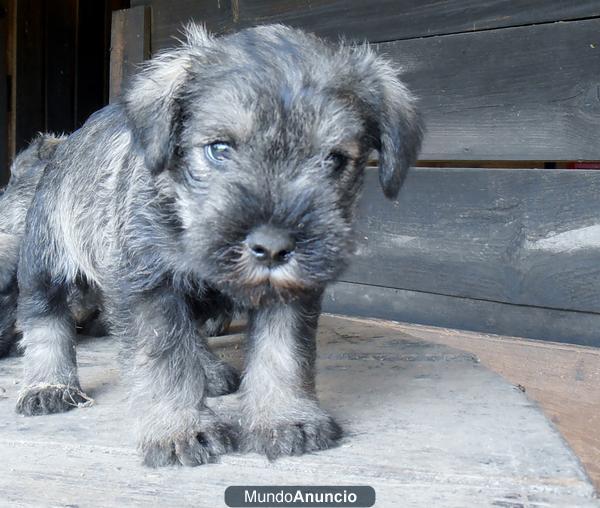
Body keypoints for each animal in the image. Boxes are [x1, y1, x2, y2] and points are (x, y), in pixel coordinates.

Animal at [15, 24, 422, 468]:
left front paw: (284, 417)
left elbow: (282, 351)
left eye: (334, 160)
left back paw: (208, 372)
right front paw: (178, 428)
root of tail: (63, 146)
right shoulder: (149, 286)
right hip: (45, 264)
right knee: (46, 319)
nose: (273, 247)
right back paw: (48, 386)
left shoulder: (290, 292)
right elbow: (164, 359)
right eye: (219, 149)